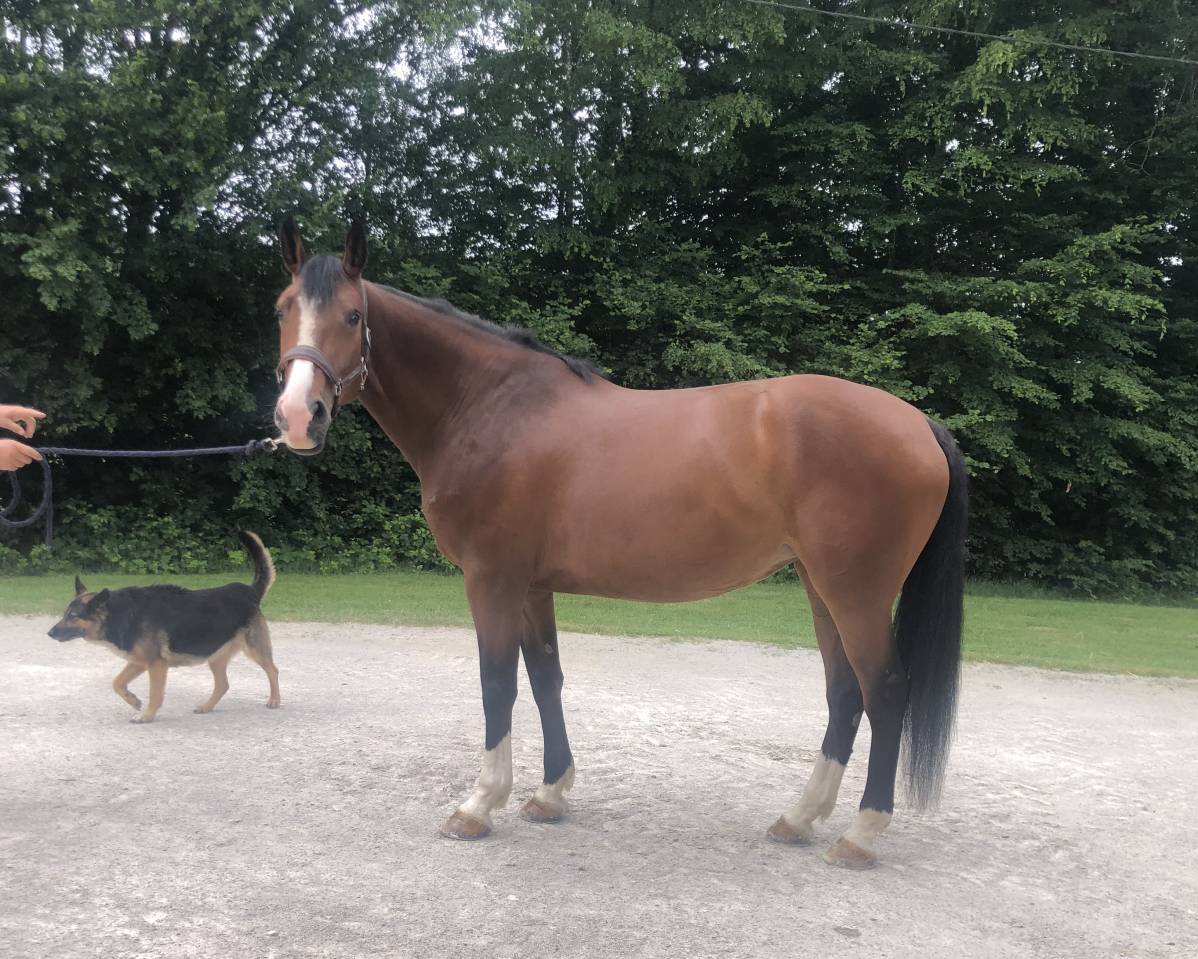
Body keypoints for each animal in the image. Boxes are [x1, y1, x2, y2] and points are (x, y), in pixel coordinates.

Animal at [271, 219, 968, 867]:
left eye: (353, 315)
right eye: (282, 309)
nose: (299, 417)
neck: (491, 410)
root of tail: (919, 423)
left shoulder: (491, 578)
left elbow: (497, 682)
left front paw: (478, 804)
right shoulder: (531, 586)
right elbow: (546, 677)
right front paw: (549, 795)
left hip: (857, 593)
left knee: (884, 692)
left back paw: (860, 834)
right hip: (822, 586)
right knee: (844, 692)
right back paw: (799, 818)